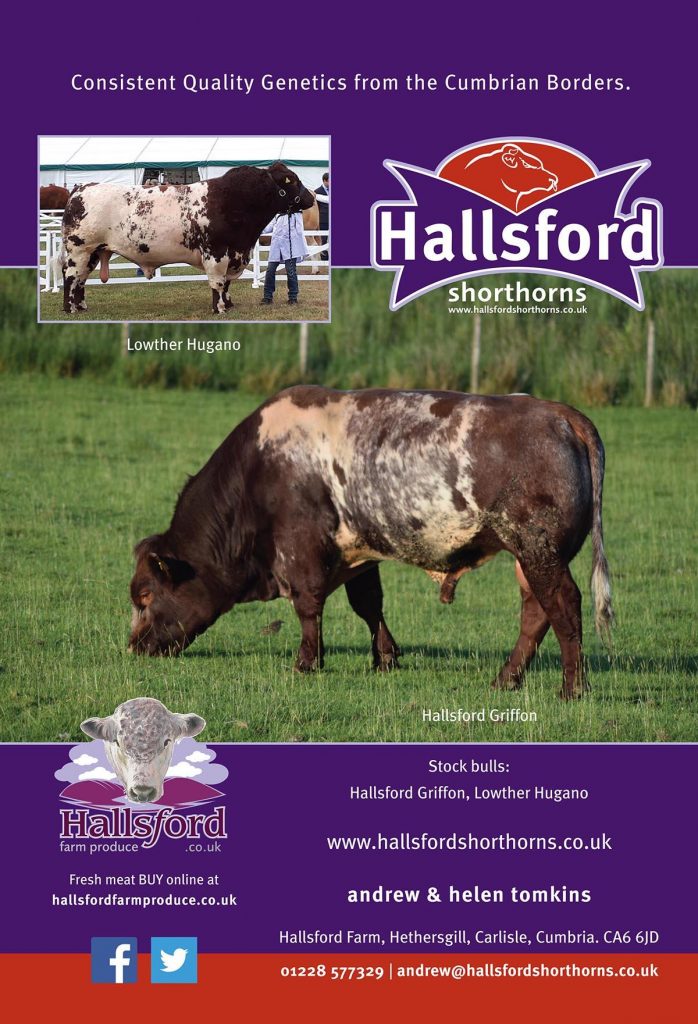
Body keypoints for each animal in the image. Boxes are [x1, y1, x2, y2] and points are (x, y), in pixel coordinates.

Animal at [60, 162, 315, 315]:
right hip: (80, 250)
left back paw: (81, 306)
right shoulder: (216, 253)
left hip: (93, 252)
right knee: (71, 277)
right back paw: (70, 308)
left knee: (81, 280)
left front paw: (229, 304)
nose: (312, 198)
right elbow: (218, 282)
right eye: (292, 180)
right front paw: (220, 308)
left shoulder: (233, 253)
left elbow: (227, 283)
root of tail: (80, 189)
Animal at [128, 387, 614, 700]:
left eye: (146, 595)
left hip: (538, 550)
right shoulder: (358, 555)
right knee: (535, 614)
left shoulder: (301, 550)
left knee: (563, 605)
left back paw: (572, 688)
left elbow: (308, 607)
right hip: (528, 556)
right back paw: (506, 680)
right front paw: (385, 657)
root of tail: (559, 413)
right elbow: (369, 605)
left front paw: (307, 663)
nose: (134, 647)